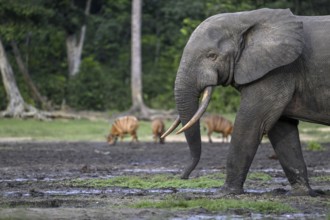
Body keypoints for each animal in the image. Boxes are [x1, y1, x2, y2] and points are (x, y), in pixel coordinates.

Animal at [163, 9, 330, 198]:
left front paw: (225, 193)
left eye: (212, 56)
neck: (243, 19)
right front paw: (302, 194)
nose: (183, 177)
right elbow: (281, 128)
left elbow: (251, 123)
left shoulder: (277, 71)